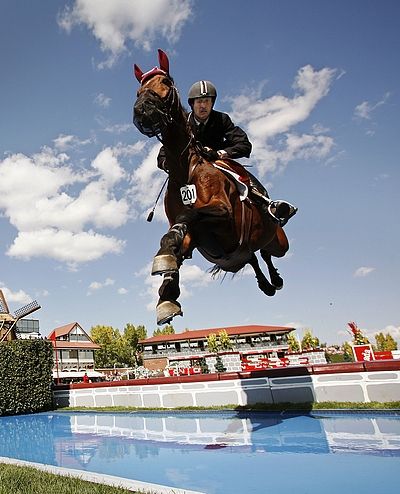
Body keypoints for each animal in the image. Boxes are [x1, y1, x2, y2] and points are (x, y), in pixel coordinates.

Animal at [134, 50, 290, 324]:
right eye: (137, 91)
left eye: (166, 82)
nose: (142, 110)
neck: (185, 169)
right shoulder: (194, 238)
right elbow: (174, 242)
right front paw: (167, 293)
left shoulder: (223, 214)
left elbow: (190, 214)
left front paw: (165, 269)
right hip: (240, 254)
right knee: (252, 256)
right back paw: (267, 285)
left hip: (280, 242)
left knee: (267, 253)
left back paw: (276, 274)